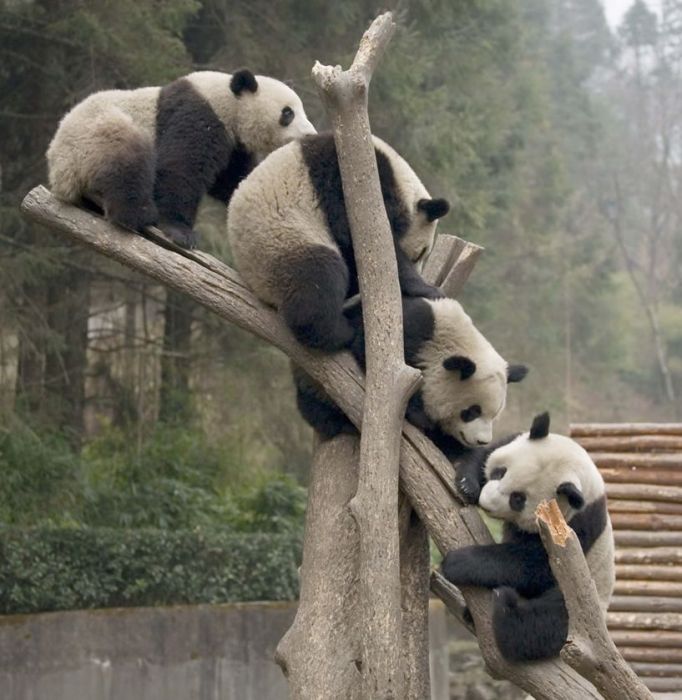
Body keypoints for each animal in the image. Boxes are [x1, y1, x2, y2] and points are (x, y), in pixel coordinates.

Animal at [47, 69, 314, 249]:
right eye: (288, 113)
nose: (310, 134)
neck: (228, 101)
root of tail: (58, 172)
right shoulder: (198, 115)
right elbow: (181, 169)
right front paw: (180, 232)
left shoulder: (233, 143)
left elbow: (233, 178)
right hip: (95, 137)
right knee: (127, 162)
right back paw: (140, 214)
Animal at [227, 133, 452, 350]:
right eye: (421, 253)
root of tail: (257, 287)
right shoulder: (348, 184)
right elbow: (360, 240)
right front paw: (426, 288)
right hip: (282, 241)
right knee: (319, 279)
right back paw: (340, 332)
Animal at [292, 296, 524, 454]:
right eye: (472, 411)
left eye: (494, 415)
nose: (482, 441)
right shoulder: (411, 328)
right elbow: (369, 350)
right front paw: (419, 413)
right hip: (312, 382)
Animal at [444, 412, 612, 664]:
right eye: (500, 472)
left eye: (518, 499)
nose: (486, 503)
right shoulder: (512, 440)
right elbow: (483, 454)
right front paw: (467, 485)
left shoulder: (577, 524)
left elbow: (535, 565)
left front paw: (458, 562)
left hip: (582, 603)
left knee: (541, 624)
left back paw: (505, 606)